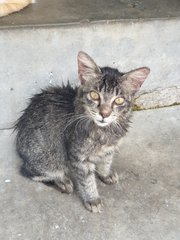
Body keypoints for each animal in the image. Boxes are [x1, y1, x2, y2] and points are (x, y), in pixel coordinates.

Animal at [15, 51, 150, 213]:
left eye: (118, 100)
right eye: (94, 95)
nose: (104, 114)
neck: (104, 132)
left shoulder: (110, 149)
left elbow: (106, 161)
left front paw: (105, 174)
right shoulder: (79, 158)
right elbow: (87, 181)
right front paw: (92, 199)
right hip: (48, 161)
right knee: (31, 172)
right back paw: (63, 181)